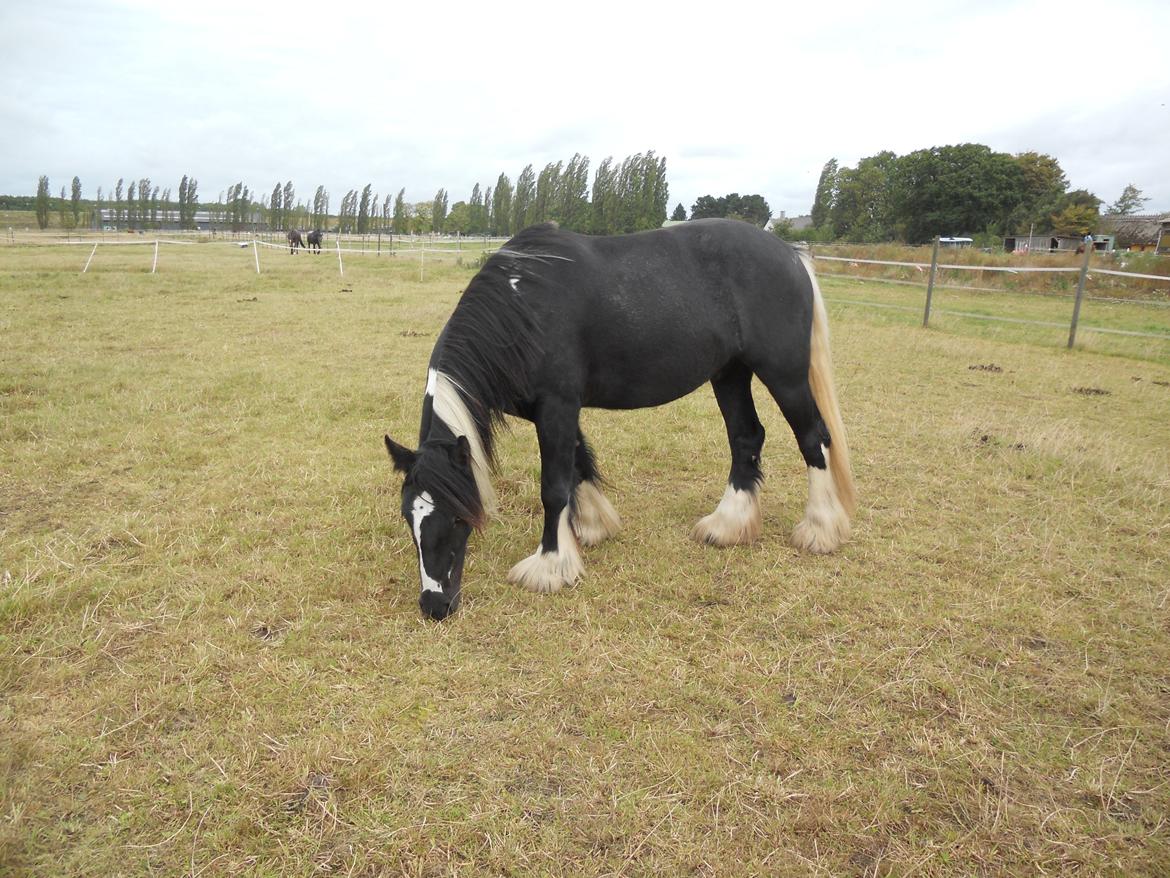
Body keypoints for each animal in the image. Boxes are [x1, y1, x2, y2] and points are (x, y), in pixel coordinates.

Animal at [388, 217, 856, 622]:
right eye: (409, 518)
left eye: (456, 517)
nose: (435, 606)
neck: (523, 308)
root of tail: (790, 254)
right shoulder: (552, 411)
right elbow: (579, 465)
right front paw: (591, 529)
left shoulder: (557, 405)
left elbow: (553, 487)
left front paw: (549, 565)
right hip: (730, 373)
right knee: (746, 437)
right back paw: (728, 525)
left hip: (784, 374)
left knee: (813, 438)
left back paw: (820, 530)